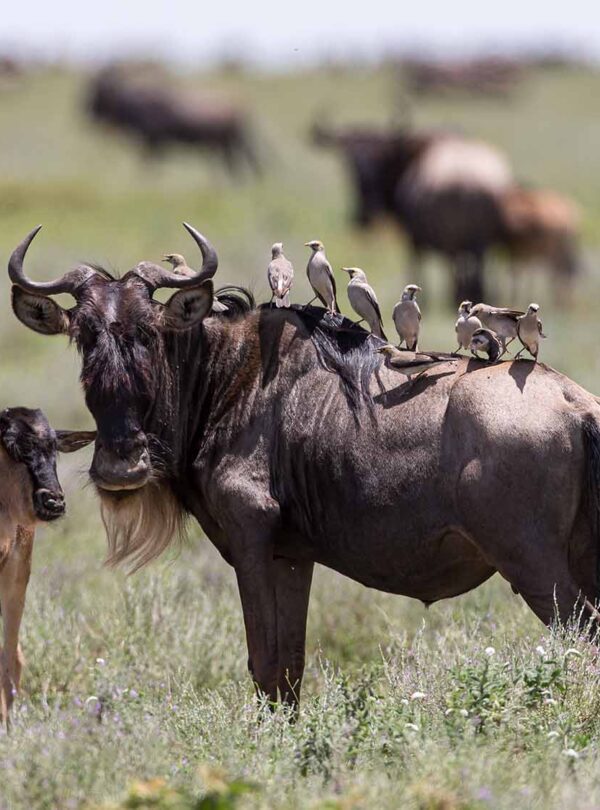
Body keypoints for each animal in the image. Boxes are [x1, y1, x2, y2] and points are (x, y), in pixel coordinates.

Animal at [9, 223, 600, 710]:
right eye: (83, 338)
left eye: (149, 333)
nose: (121, 465)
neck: (230, 378)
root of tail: (577, 404)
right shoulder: (291, 555)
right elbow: (288, 669)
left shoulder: (250, 537)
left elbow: (264, 662)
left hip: (533, 564)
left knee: (582, 635)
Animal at [87, 66, 260, 177]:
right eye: (93, 88)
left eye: (100, 91)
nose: (89, 111)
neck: (136, 105)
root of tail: (241, 110)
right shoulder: (152, 143)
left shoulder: (154, 141)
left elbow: (148, 166)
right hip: (226, 146)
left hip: (228, 145)